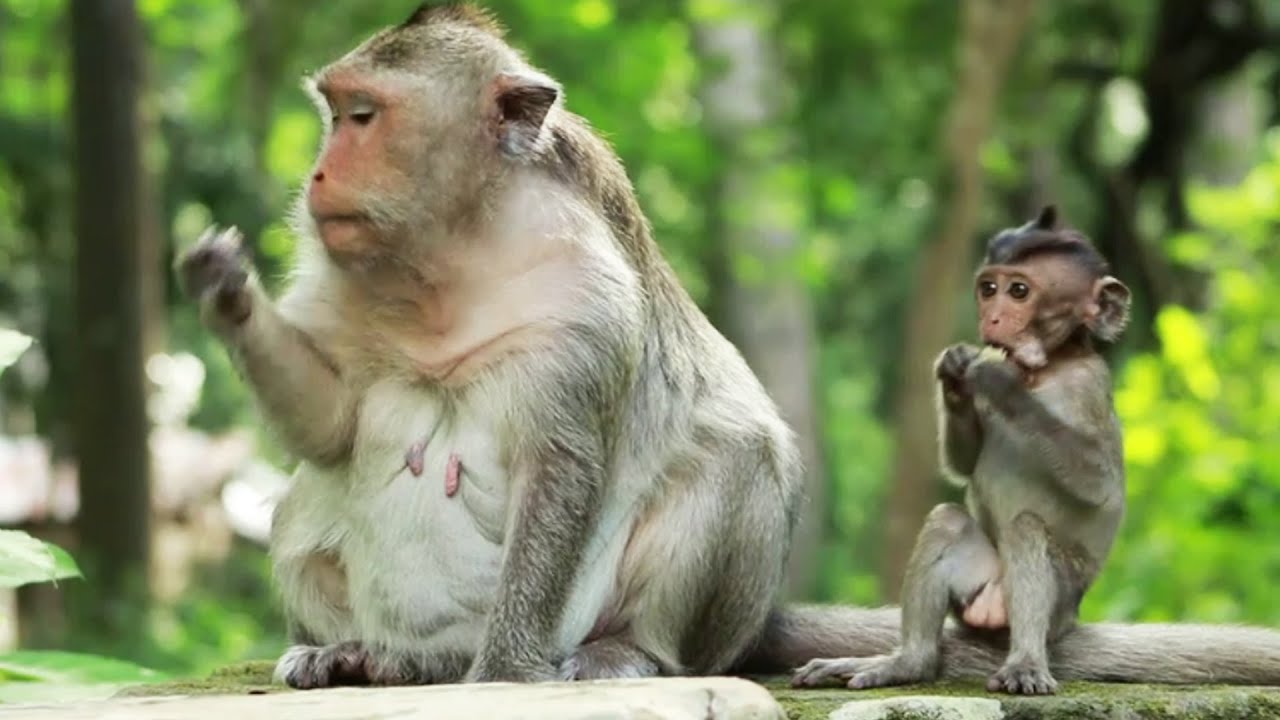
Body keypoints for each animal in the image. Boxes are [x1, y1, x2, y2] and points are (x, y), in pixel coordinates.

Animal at [177, 4, 1280, 692]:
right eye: (335, 113)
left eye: (363, 116)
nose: (317, 174)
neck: (452, 252)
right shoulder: (338, 266)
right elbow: (331, 424)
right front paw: (224, 290)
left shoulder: (582, 298)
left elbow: (563, 464)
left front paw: (501, 680)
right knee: (303, 502)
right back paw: (360, 657)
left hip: (654, 612)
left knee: (729, 464)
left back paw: (602, 658)